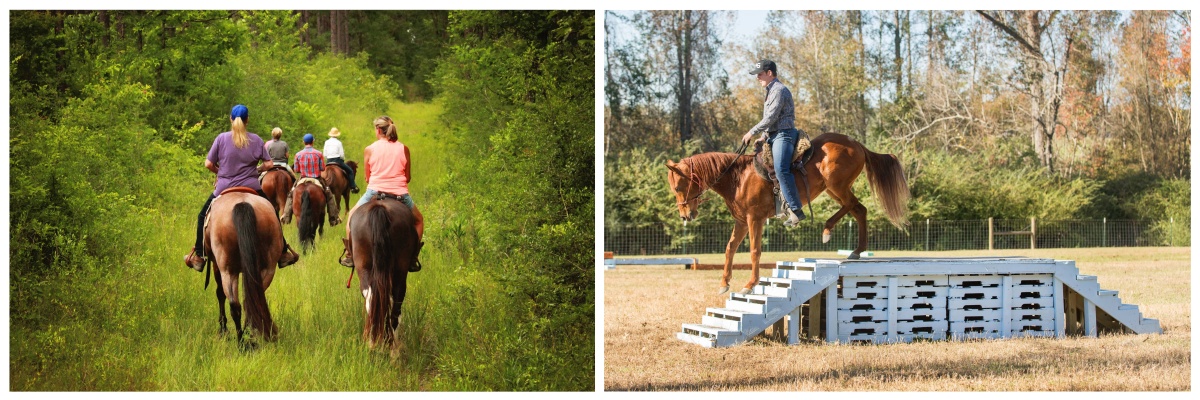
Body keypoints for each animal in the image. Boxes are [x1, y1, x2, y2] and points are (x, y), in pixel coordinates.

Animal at [205, 188, 284, 348]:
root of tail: (242, 204)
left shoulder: (216, 264)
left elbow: (220, 294)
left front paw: (223, 331)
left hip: (227, 270)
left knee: (234, 304)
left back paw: (241, 343)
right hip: (267, 269)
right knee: (252, 301)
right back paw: (250, 338)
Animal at [348, 198, 417, 348]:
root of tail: (379, 209)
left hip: (366, 269)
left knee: (374, 301)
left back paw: (375, 343)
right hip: (399, 273)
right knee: (394, 309)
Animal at [667, 132, 907, 294]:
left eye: (678, 187)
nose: (684, 216)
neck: (738, 178)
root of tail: (856, 144)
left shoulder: (755, 220)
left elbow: (754, 251)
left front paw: (750, 284)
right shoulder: (742, 222)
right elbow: (730, 249)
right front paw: (724, 283)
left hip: (836, 185)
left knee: (853, 206)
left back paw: (826, 229)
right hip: (833, 189)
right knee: (859, 210)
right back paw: (856, 250)